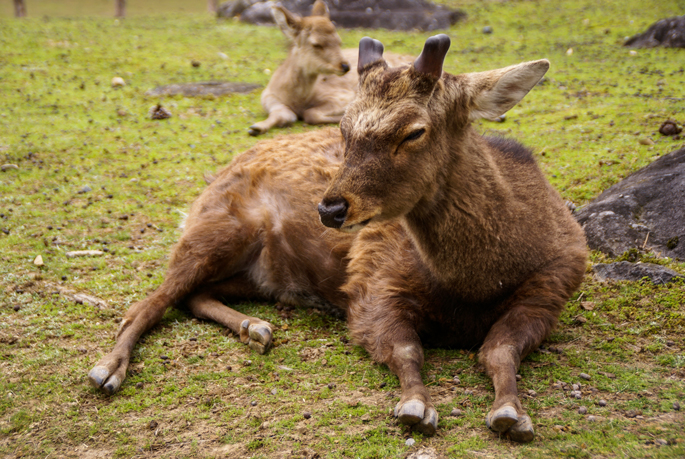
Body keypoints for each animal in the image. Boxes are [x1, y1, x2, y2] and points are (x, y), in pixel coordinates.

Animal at [88, 34, 584, 444]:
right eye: (343, 129)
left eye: (415, 131)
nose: (329, 208)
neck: (476, 282)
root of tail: (215, 177)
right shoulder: (373, 282)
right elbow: (406, 348)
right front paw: (415, 406)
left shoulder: (550, 289)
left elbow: (499, 351)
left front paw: (511, 414)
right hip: (214, 231)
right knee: (149, 302)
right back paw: (106, 370)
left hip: (260, 273)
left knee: (195, 295)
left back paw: (255, 328)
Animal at [247, 0, 412, 137]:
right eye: (316, 44)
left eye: (339, 41)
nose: (345, 66)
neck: (297, 99)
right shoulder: (267, 96)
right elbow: (284, 114)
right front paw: (255, 128)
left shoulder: (343, 96)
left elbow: (311, 114)